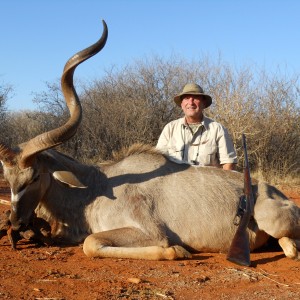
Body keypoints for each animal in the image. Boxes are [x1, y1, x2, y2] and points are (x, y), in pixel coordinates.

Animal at [0, 21, 300, 264]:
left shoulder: (148, 232)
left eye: (35, 176)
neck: (95, 187)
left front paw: (177, 251)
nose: (15, 222)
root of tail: (281, 196)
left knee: (290, 247)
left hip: (274, 223)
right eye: (8, 177)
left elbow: (92, 243)